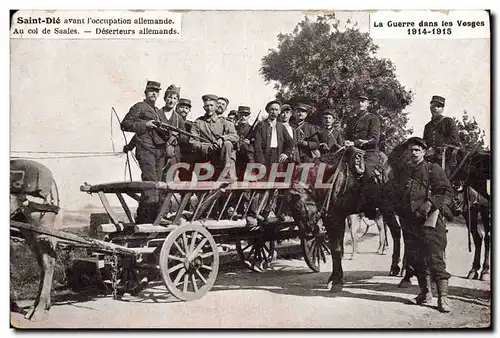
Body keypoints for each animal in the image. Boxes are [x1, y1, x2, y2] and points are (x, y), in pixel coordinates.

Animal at [10, 160, 60, 320]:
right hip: (27, 228)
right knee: (43, 261)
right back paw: (38, 307)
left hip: (41, 222)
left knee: (48, 262)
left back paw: (38, 311)